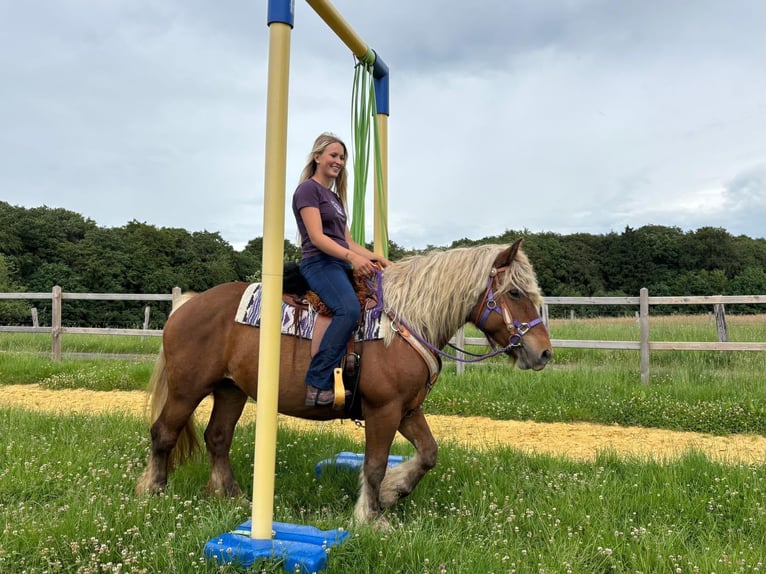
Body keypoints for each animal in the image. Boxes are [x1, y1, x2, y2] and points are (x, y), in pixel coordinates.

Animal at [136, 238, 552, 525]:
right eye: (515, 292)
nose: (544, 353)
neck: (403, 324)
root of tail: (187, 304)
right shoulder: (383, 410)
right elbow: (375, 464)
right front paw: (371, 516)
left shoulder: (408, 410)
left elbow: (428, 454)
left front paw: (392, 493)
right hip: (188, 389)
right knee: (164, 433)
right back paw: (153, 490)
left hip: (230, 390)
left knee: (218, 438)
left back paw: (234, 497)